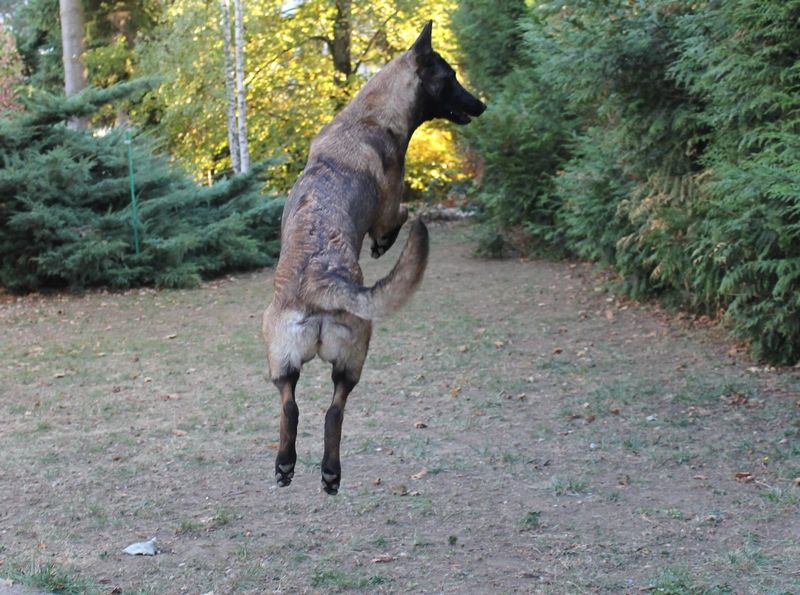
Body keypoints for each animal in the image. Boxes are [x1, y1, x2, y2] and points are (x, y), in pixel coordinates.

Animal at [262, 21, 486, 494]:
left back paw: (297, 467)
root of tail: (322, 282)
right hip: (346, 357)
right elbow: (400, 213)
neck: (368, 115)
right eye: (450, 76)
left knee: (300, 408)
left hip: (287, 361)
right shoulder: (388, 207)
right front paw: (383, 244)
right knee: (332, 410)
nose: (482, 104)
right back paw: (327, 471)